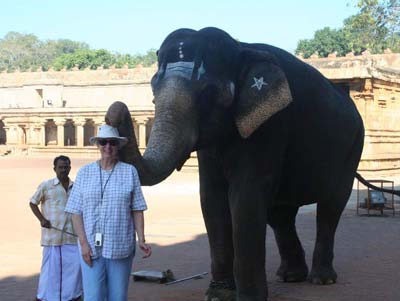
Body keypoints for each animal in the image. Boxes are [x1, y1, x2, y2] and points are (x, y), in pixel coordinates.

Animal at [104, 27, 374, 298]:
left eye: (208, 94)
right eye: (153, 91)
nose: (117, 108)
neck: (241, 47)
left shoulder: (271, 124)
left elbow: (245, 197)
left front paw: (248, 298)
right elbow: (211, 199)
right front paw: (218, 295)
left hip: (354, 146)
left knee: (331, 206)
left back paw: (322, 279)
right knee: (280, 213)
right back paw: (290, 276)